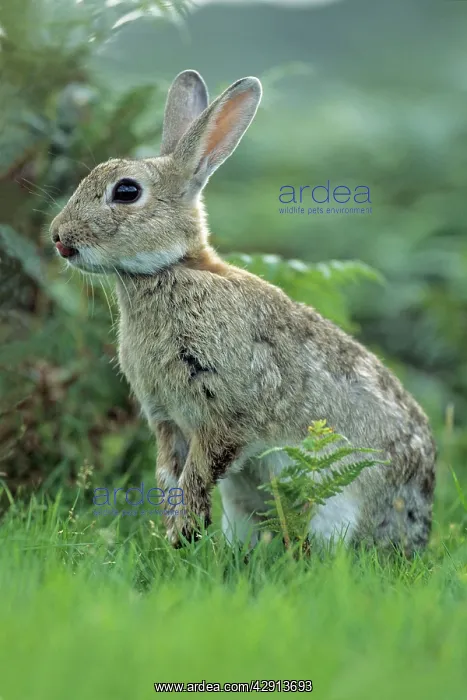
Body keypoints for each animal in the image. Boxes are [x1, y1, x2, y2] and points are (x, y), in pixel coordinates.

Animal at [50, 69, 436, 553]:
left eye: (126, 191)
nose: (58, 237)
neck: (171, 270)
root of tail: (417, 531)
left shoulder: (226, 415)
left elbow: (197, 475)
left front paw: (181, 534)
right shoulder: (167, 420)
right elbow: (169, 475)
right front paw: (175, 535)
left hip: (338, 506)